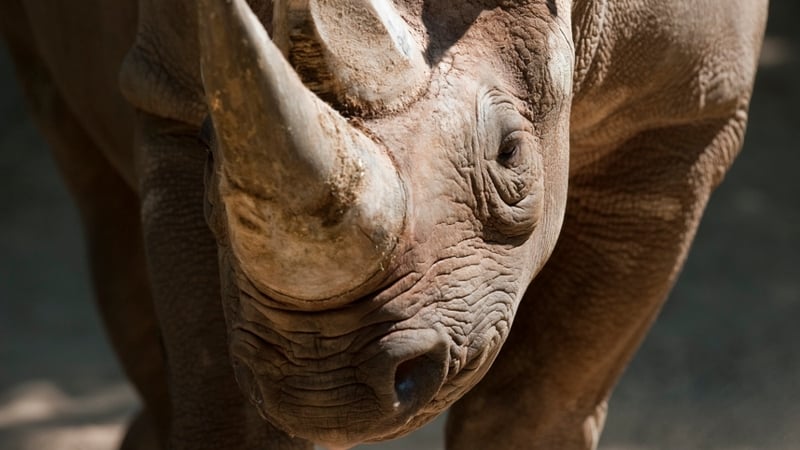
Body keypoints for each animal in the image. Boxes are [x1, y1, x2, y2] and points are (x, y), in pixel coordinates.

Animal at [0, 0, 768, 448]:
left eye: (510, 155)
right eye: (214, 152)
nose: (324, 387)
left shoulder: (684, 117)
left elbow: (537, 399)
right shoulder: (168, 99)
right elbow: (223, 402)